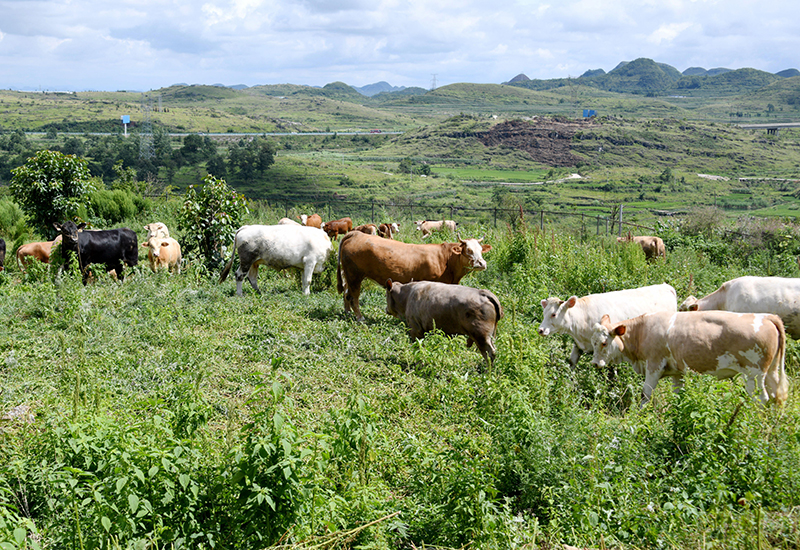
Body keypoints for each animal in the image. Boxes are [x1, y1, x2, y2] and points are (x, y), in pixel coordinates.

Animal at [336, 230, 490, 324]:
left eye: (481, 250)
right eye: (468, 250)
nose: (482, 263)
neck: (446, 259)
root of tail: (356, 234)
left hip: (348, 275)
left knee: (346, 294)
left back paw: (347, 313)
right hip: (354, 275)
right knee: (354, 297)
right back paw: (360, 317)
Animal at [540, 284, 680, 366]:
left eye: (553, 314)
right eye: (544, 313)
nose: (540, 330)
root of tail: (666, 286)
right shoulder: (578, 345)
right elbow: (571, 362)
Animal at [592, 312, 792, 408]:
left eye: (604, 343)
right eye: (593, 342)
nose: (594, 363)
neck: (642, 331)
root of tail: (766, 316)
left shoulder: (654, 366)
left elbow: (645, 394)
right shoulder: (677, 372)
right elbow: (678, 395)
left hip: (754, 375)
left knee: (762, 399)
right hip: (771, 372)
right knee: (777, 396)